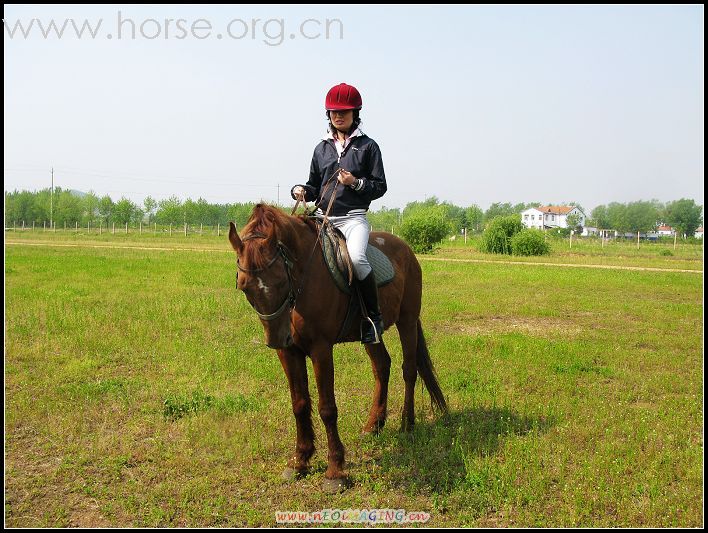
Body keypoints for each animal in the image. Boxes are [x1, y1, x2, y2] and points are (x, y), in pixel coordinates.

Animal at [228, 204, 448, 490]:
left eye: (280, 281)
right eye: (244, 287)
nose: (277, 338)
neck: (305, 277)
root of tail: (406, 249)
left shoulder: (321, 349)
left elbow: (327, 408)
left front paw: (335, 471)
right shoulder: (289, 353)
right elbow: (299, 404)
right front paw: (300, 460)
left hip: (407, 321)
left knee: (409, 370)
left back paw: (406, 424)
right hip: (371, 335)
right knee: (382, 367)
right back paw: (373, 425)